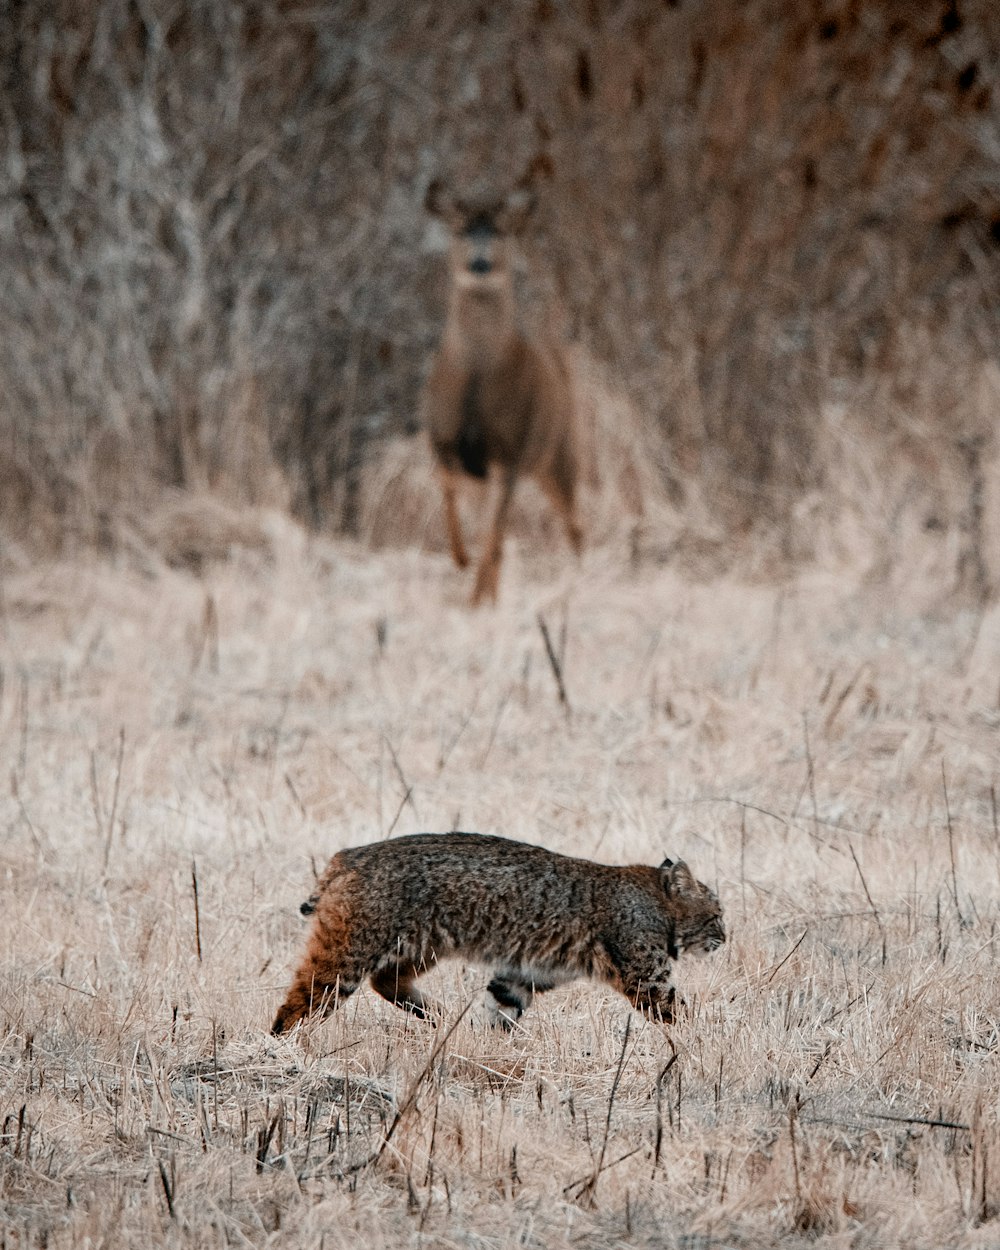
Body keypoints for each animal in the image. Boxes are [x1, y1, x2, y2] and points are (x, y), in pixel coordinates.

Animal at [420, 181, 577, 605]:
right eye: (460, 230)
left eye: (501, 231)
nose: (480, 265)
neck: (477, 379)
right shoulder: (445, 442)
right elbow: (449, 495)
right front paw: (459, 558)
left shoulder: (511, 450)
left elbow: (492, 537)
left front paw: (477, 601)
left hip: (558, 451)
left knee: (573, 523)